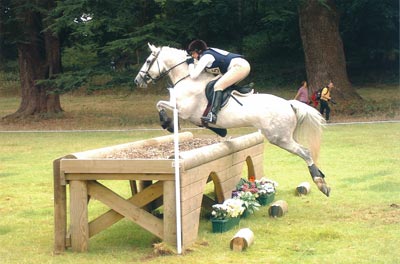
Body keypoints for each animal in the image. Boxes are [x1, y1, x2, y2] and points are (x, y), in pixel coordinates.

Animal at [134, 43, 332, 196]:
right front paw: (220, 131)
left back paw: (320, 183)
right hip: (286, 136)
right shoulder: (189, 114)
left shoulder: (183, 110)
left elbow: (160, 104)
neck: (187, 78)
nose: (137, 81)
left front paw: (167, 123)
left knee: (305, 152)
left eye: (148, 61)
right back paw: (322, 177)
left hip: (279, 137)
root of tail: (289, 104)